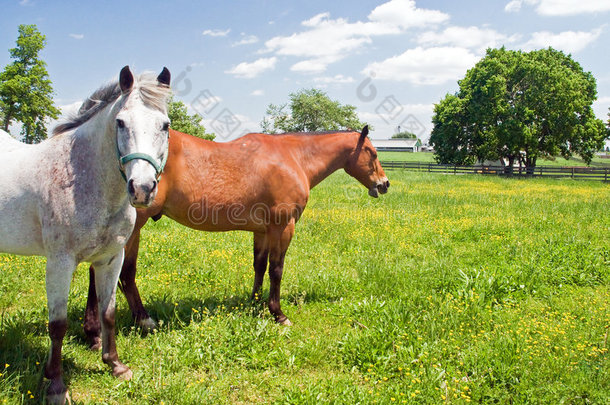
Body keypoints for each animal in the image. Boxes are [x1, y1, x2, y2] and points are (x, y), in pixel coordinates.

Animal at [0, 64, 171, 402]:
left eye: (165, 125)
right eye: (120, 122)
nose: (142, 189)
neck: (82, 179)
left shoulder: (110, 259)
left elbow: (108, 312)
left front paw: (116, 365)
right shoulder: (60, 263)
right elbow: (58, 324)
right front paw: (55, 385)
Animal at [83, 125, 388, 348]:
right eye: (373, 153)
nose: (384, 184)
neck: (293, 158)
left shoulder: (262, 230)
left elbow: (259, 265)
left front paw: (254, 302)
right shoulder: (283, 227)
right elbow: (277, 269)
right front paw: (278, 313)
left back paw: (96, 333)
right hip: (134, 227)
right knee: (119, 274)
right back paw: (136, 323)